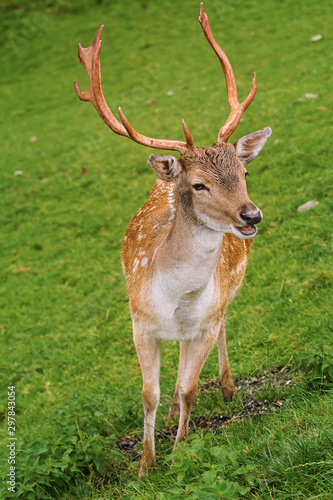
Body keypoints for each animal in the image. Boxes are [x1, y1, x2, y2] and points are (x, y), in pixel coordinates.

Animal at [74, 0, 270, 476]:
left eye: (244, 173)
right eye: (199, 185)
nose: (251, 215)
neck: (178, 299)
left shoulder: (204, 322)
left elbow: (188, 388)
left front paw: (180, 452)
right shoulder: (140, 324)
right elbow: (150, 394)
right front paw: (146, 465)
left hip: (225, 299)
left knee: (216, 336)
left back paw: (227, 387)